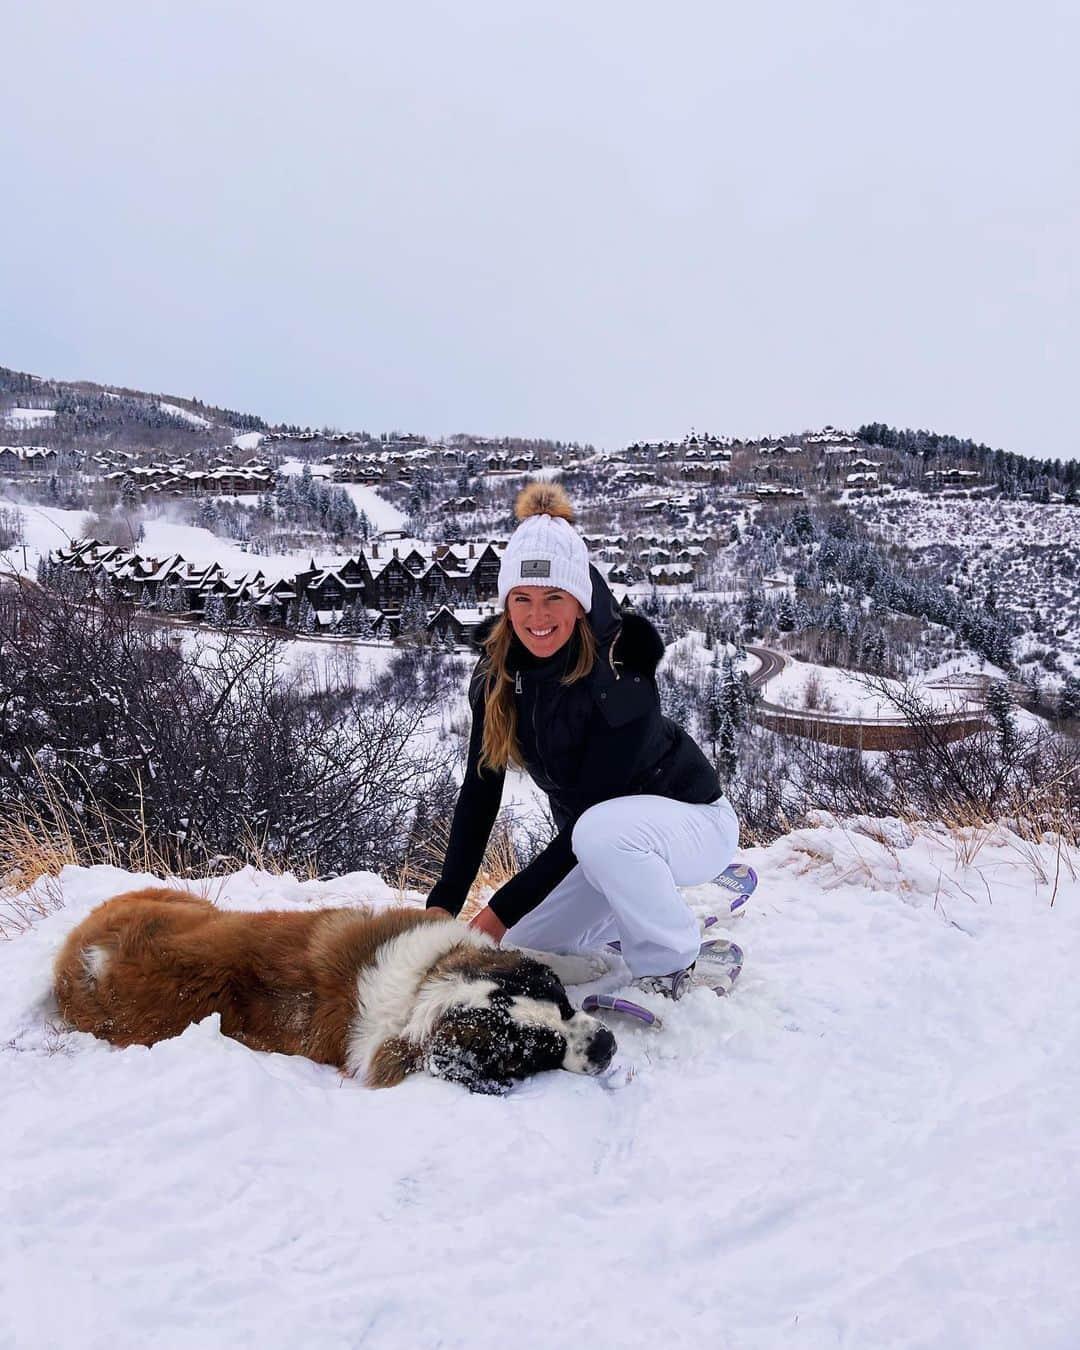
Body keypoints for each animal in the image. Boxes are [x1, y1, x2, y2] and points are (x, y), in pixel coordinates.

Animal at [52, 885, 615, 1096]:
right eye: (537, 1052)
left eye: (561, 1005)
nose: (607, 1045)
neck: (420, 993)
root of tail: (80, 959)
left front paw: (589, 961)